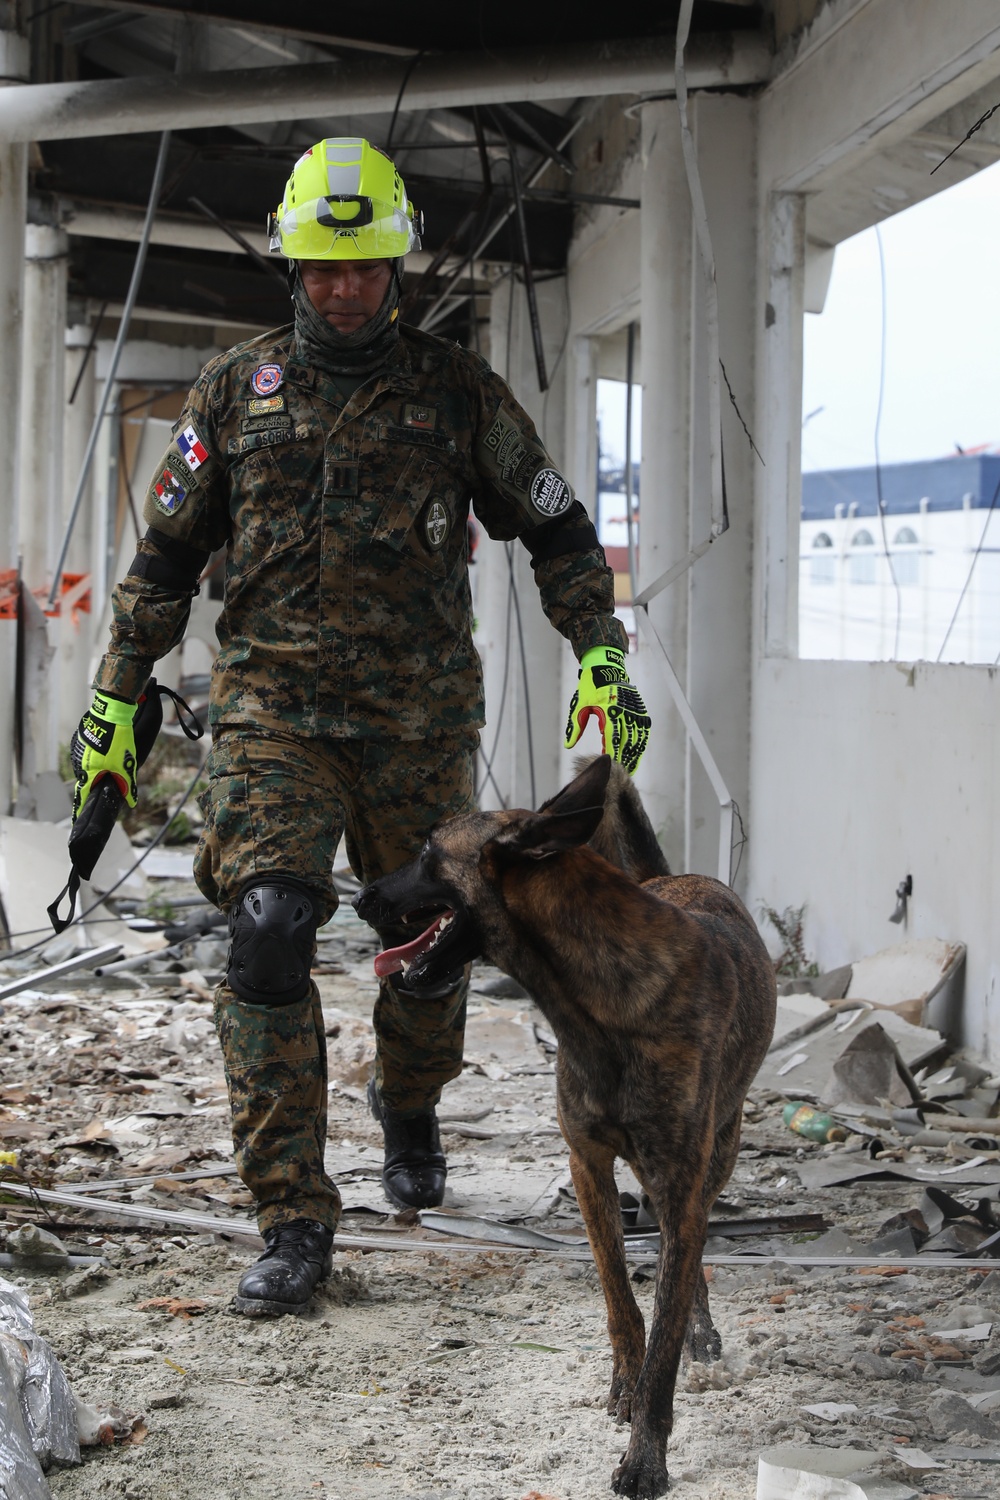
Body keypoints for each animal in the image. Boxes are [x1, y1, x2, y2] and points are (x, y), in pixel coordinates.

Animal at [355, 762, 779, 1500]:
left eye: (430, 851)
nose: (359, 897)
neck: (597, 1000)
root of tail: (675, 876)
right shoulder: (588, 1166)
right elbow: (621, 1302)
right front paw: (623, 1386)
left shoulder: (679, 1178)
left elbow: (664, 1331)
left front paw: (645, 1458)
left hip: (714, 1155)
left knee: (691, 1247)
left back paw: (700, 1329)